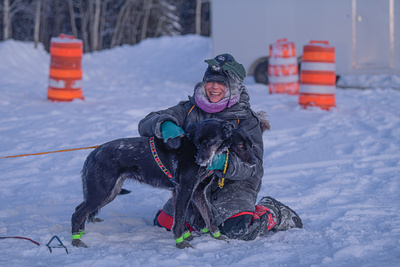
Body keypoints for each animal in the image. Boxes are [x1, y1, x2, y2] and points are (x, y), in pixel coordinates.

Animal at [72, 119, 260, 249]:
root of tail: (93, 154)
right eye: (199, 142)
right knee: (78, 213)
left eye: (250, 145)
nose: (199, 160)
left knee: (79, 209)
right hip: (102, 193)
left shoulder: (195, 191)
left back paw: (80, 233)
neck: (193, 149)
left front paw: (216, 236)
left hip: (107, 192)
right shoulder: (185, 189)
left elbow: (207, 217)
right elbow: (180, 219)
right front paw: (181, 243)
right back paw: (76, 240)